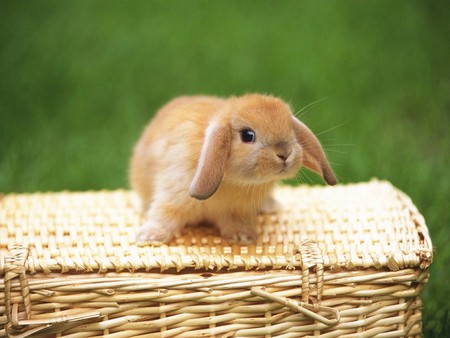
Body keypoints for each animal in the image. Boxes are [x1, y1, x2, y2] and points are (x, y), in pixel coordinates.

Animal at [128, 93, 336, 244]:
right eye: (247, 135)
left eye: (290, 130)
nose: (284, 153)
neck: (232, 181)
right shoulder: (173, 195)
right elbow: (164, 215)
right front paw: (148, 237)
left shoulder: (237, 210)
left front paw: (242, 237)